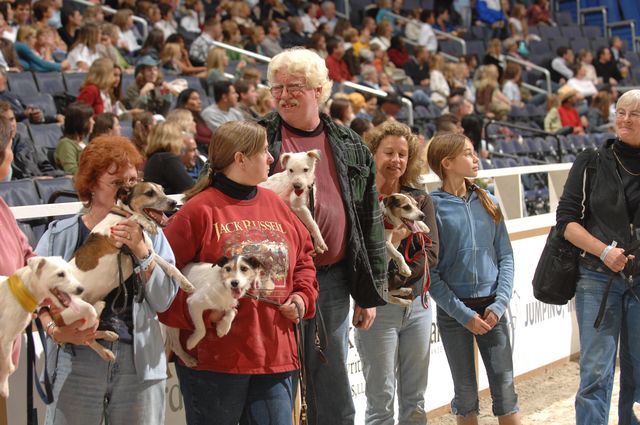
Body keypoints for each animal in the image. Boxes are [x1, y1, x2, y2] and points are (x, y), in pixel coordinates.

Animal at [0, 255, 85, 398]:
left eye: (71, 271)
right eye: (60, 274)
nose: (81, 289)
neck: (22, 290)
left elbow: (6, 363)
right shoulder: (5, 339)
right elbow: (5, 366)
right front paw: (4, 388)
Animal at [54, 181, 195, 360]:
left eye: (163, 190)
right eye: (149, 193)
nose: (173, 203)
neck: (122, 214)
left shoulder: (147, 253)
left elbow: (169, 266)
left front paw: (185, 282)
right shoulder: (115, 236)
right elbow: (134, 217)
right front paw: (147, 223)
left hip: (97, 306)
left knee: (90, 333)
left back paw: (108, 335)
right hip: (85, 311)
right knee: (85, 338)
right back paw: (106, 352)